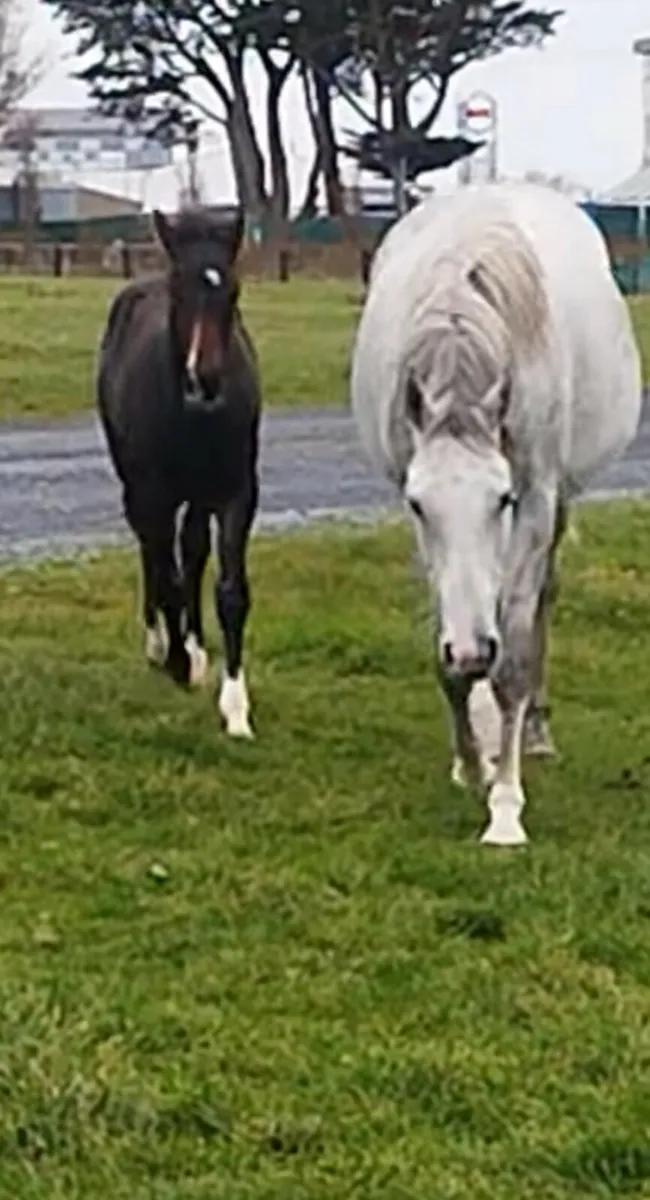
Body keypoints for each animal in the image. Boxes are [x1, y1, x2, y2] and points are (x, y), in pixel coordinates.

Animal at [96, 205, 260, 739]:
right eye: (180, 290)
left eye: (233, 290)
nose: (203, 379)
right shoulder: (154, 492)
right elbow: (164, 569)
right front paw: (175, 662)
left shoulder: (236, 493)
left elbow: (229, 590)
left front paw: (235, 708)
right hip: (138, 484)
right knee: (153, 549)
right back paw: (161, 645)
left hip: (199, 494)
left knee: (191, 550)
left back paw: (194, 646)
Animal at [350, 181, 642, 846]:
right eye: (418, 504)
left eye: (502, 499)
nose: (470, 651)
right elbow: (453, 654)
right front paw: (470, 762)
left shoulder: (535, 499)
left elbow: (514, 658)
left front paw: (506, 808)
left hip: (559, 506)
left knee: (538, 608)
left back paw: (533, 730)